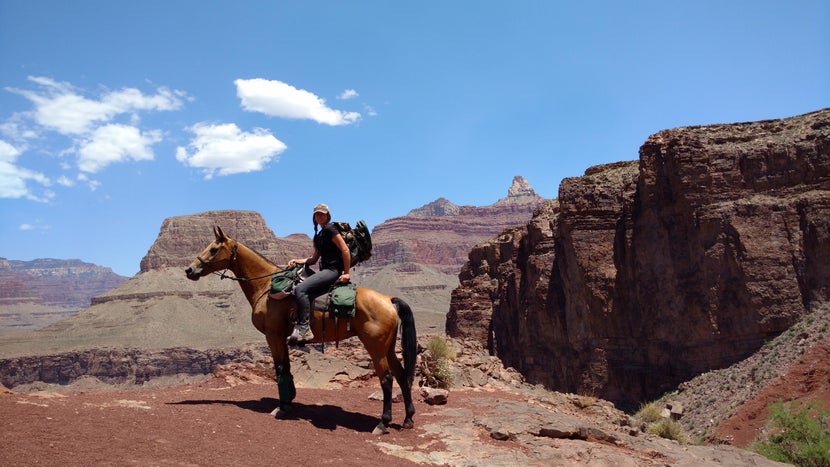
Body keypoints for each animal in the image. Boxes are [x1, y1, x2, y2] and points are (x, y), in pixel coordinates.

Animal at [182, 227, 416, 436]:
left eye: (213, 249)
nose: (189, 270)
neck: (266, 285)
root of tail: (388, 300)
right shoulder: (281, 337)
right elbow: (285, 368)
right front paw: (288, 402)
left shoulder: (273, 335)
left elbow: (280, 368)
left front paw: (281, 407)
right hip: (388, 348)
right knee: (402, 375)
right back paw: (408, 419)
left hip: (376, 348)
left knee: (387, 380)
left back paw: (382, 423)